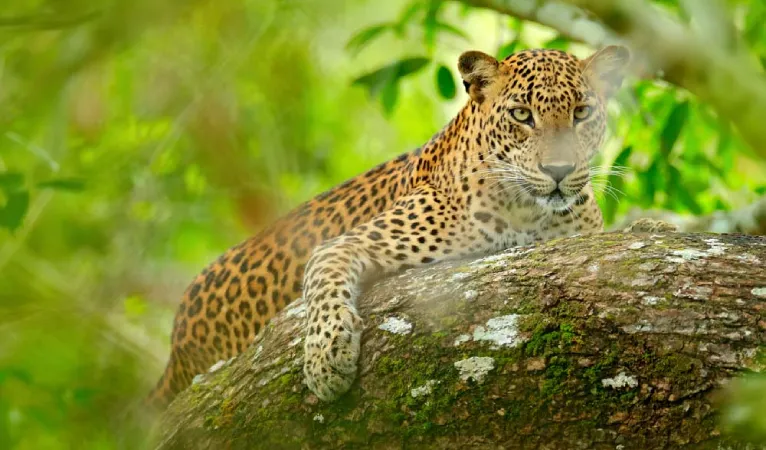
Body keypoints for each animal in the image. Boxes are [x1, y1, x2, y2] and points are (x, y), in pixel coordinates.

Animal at [147, 45, 631, 406]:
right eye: (521, 115)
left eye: (582, 113)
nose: (558, 170)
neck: (531, 212)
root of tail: (175, 351)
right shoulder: (349, 243)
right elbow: (324, 278)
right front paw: (326, 358)